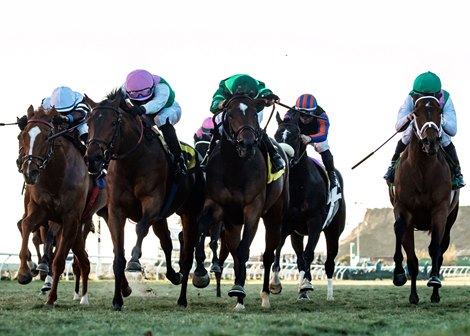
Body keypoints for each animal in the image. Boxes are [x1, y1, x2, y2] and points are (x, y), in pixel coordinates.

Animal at [17, 105, 106, 308]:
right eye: (23, 135)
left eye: (47, 136)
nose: (28, 171)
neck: (56, 175)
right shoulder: (40, 211)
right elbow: (26, 225)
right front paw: (25, 273)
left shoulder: (69, 218)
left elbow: (58, 261)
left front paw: (51, 298)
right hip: (78, 228)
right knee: (84, 261)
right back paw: (83, 296)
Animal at [84, 89, 204, 310]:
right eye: (89, 123)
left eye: (113, 123)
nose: (93, 159)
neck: (132, 162)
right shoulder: (116, 211)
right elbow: (118, 256)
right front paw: (117, 300)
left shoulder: (152, 202)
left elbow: (140, 228)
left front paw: (134, 261)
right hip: (161, 218)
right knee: (167, 242)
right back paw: (173, 275)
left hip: (189, 213)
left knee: (186, 256)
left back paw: (182, 297)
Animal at [193, 94, 288, 310]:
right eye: (231, 114)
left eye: (254, 113)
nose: (247, 144)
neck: (235, 168)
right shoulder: (216, 205)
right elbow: (201, 229)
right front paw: (201, 273)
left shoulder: (253, 208)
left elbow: (245, 250)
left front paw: (238, 288)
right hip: (233, 223)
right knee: (234, 252)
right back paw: (239, 297)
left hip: (274, 213)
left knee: (267, 254)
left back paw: (264, 295)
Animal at [268, 113, 346, 300]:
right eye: (276, 136)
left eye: (296, 136)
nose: (284, 157)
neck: (298, 184)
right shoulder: (285, 224)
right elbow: (278, 250)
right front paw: (275, 283)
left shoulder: (315, 221)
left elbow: (309, 253)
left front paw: (305, 284)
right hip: (297, 235)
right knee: (299, 258)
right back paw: (302, 292)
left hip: (333, 232)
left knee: (329, 262)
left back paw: (328, 295)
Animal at [390, 94, 458, 304]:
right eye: (416, 112)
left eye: (439, 111)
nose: (431, 142)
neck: (422, 171)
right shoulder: (403, 208)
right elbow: (401, 235)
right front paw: (399, 275)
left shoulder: (440, 210)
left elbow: (435, 247)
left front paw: (434, 280)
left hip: (450, 220)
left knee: (440, 251)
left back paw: (435, 293)